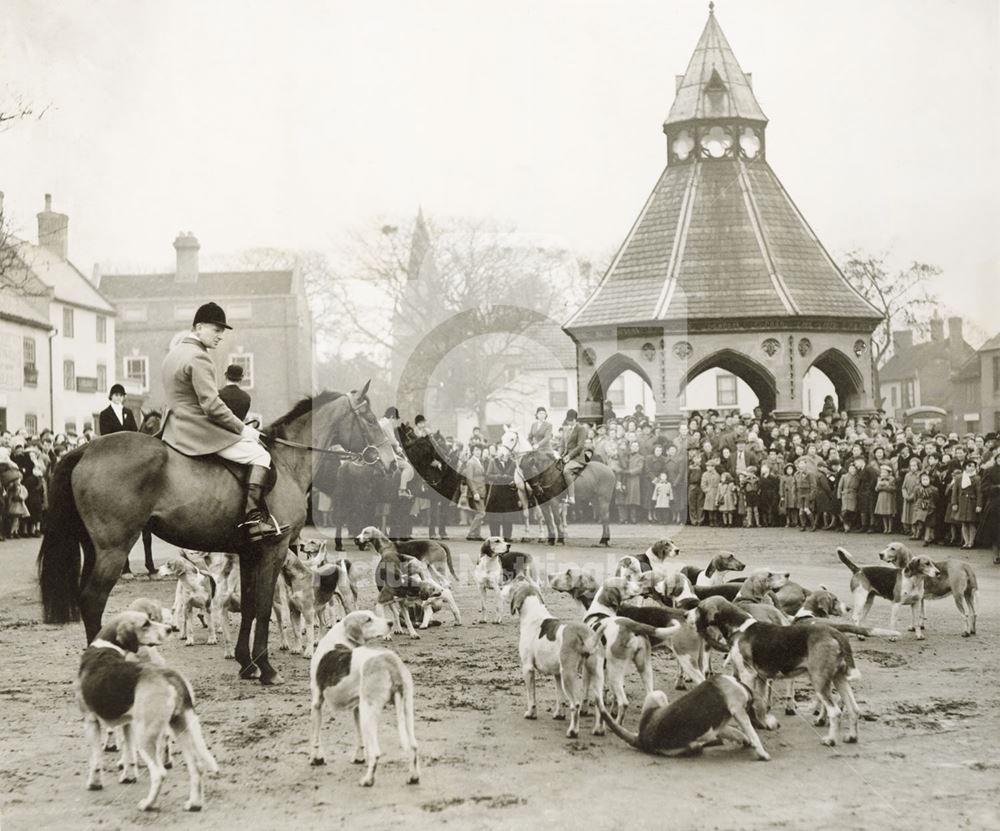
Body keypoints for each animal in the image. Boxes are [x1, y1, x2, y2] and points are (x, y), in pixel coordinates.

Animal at [39, 386, 392, 684]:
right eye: (369, 418)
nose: (390, 461)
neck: (285, 463)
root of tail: (86, 449)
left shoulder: (249, 552)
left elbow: (249, 606)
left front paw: (246, 664)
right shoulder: (274, 549)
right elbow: (263, 606)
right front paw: (266, 668)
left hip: (94, 548)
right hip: (114, 549)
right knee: (93, 599)